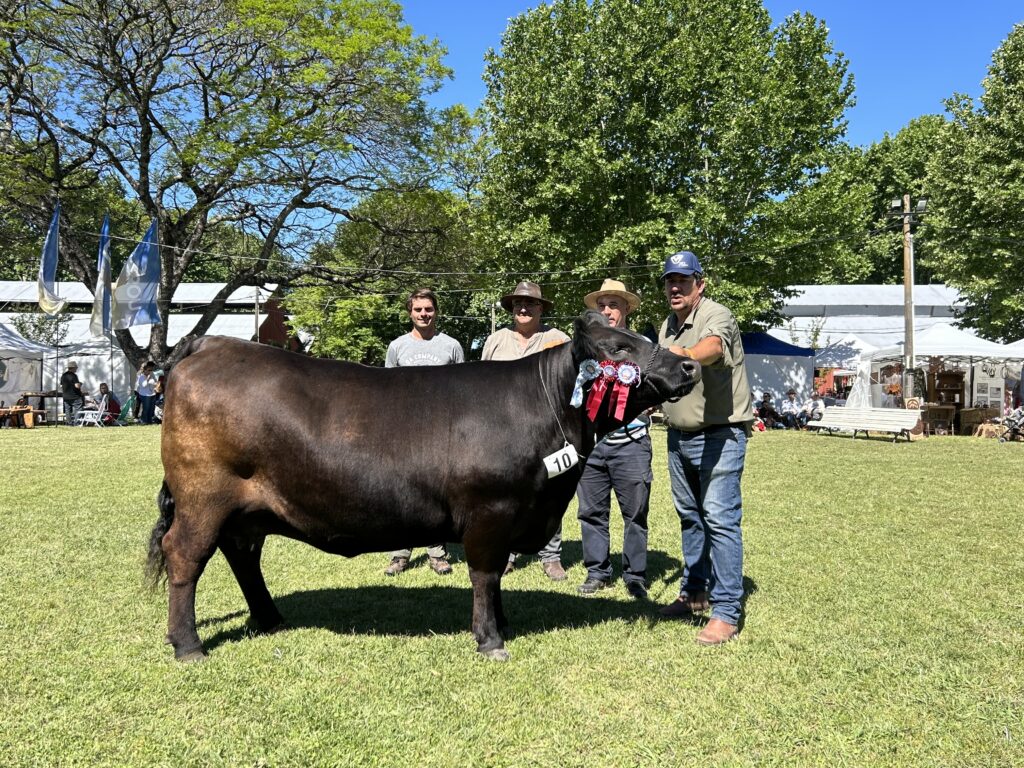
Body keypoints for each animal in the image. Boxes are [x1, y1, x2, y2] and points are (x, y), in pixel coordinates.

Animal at [146, 311, 700, 661]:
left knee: (243, 555)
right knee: (186, 556)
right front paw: (489, 639)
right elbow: (484, 575)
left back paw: (270, 618)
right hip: (203, 498)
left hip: (248, 508)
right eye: (620, 348)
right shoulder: (489, 512)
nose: (689, 364)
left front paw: (502, 624)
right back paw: (188, 646)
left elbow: (494, 579)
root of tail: (210, 344)